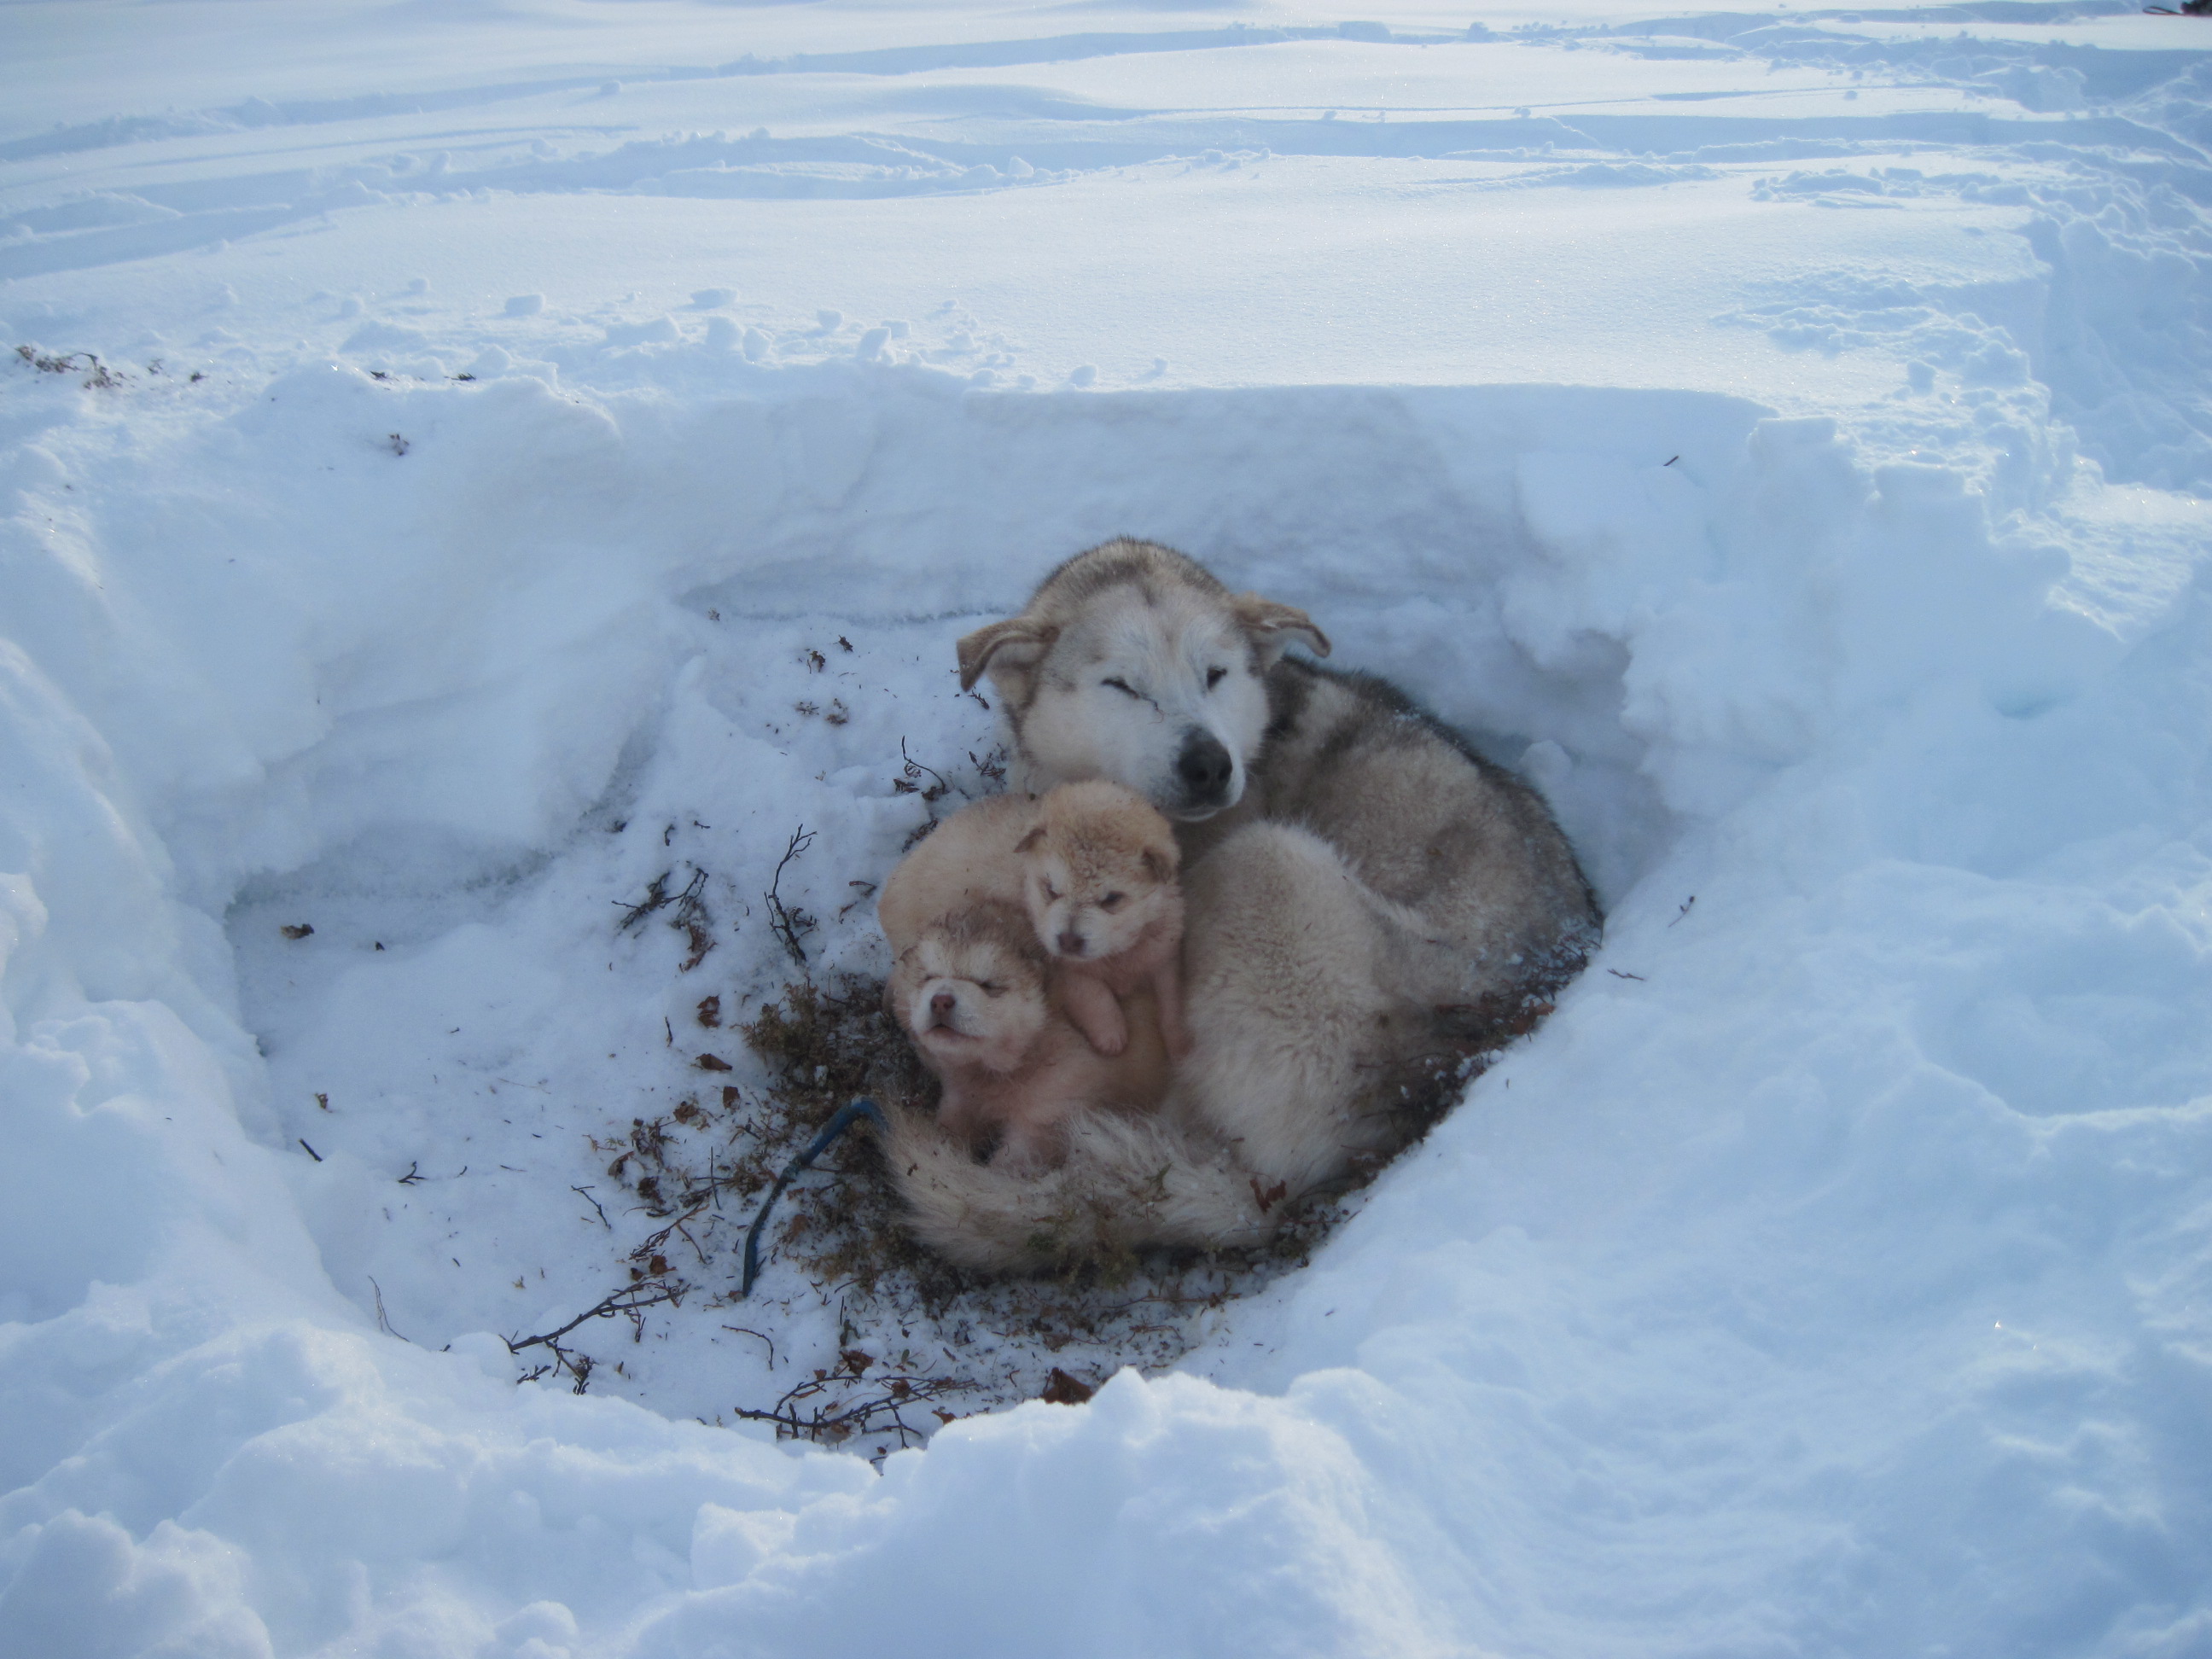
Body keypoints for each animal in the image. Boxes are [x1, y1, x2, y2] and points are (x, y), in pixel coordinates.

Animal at [1017, 783, 1194, 1066]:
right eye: (1051, 891)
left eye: (1111, 899)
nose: (1068, 941)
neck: (1117, 954)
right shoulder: (1067, 971)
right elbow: (1095, 995)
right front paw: (1111, 1035)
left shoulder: (1165, 958)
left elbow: (1172, 1003)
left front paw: (1181, 1046)